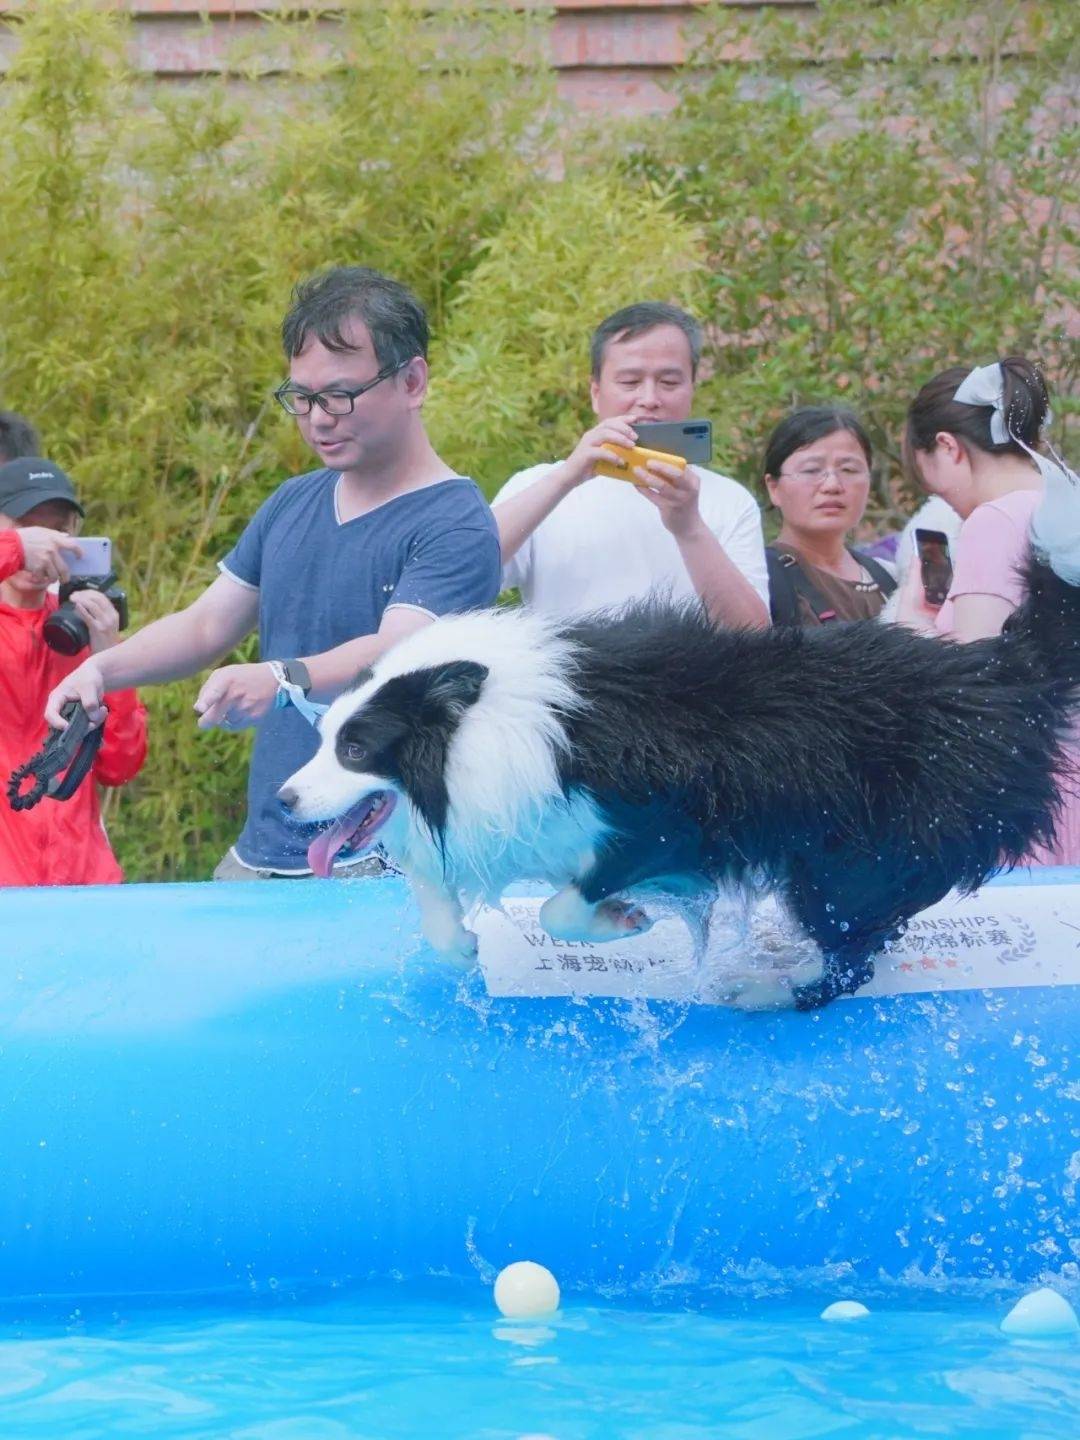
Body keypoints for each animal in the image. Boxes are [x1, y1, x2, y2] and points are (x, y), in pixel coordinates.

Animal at [279, 478, 1080, 1008]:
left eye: (356, 749)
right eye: (323, 737)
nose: (284, 800)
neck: (480, 722)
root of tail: (995, 673)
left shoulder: (657, 823)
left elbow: (563, 904)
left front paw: (620, 919)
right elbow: (441, 897)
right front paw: (467, 941)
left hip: (854, 852)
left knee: (851, 946)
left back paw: (768, 989)